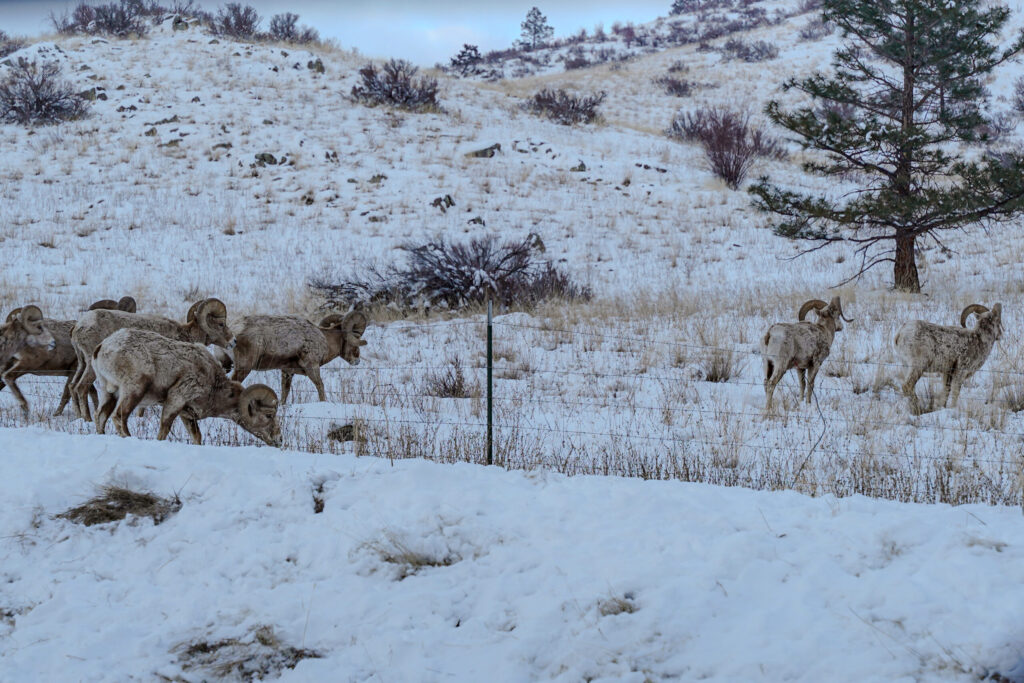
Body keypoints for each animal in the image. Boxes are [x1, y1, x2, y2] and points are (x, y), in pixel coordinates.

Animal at [69, 298, 232, 421]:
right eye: (221, 324)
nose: (233, 341)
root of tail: (79, 327)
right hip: (91, 367)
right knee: (81, 388)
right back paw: (87, 419)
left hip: (82, 364)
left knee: (72, 386)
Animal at [92, 328, 281, 446]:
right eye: (268, 415)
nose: (278, 440)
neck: (214, 386)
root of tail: (103, 347)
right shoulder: (176, 400)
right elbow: (164, 430)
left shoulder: (187, 414)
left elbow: (196, 436)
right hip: (133, 390)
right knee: (119, 417)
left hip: (109, 393)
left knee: (101, 417)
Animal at [230, 311, 368, 403]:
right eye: (356, 336)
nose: (357, 360)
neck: (324, 340)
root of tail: (234, 330)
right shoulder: (312, 367)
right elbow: (320, 386)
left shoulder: (287, 372)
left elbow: (285, 392)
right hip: (244, 367)